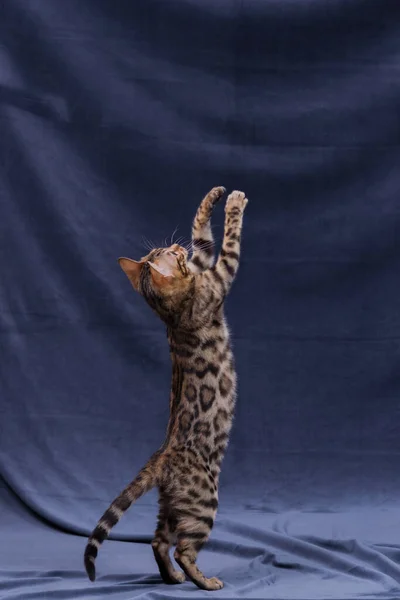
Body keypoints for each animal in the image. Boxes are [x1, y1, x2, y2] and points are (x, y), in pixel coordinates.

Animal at [83, 188, 247, 592]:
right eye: (171, 256)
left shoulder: (203, 266)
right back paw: (204, 582)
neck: (169, 310)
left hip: (172, 505)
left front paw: (213, 198)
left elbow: (203, 236)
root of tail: (161, 456)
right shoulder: (217, 278)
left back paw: (172, 578)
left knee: (158, 541)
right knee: (183, 548)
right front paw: (234, 204)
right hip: (203, 501)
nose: (175, 245)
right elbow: (229, 244)